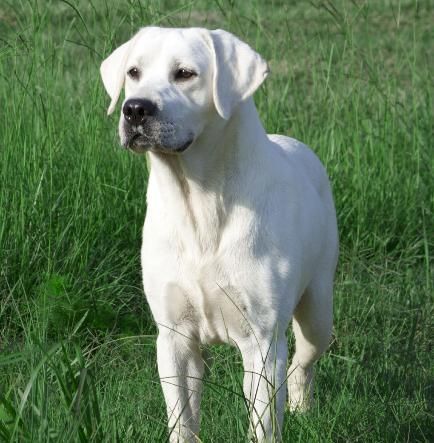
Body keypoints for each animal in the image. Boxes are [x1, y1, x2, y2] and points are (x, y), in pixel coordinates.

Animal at [101, 26, 340, 442]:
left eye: (185, 73)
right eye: (133, 72)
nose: (134, 109)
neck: (198, 201)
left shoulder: (262, 343)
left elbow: (263, 423)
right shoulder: (174, 337)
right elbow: (182, 420)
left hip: (317, 310)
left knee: (303, 362)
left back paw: (302, 409)